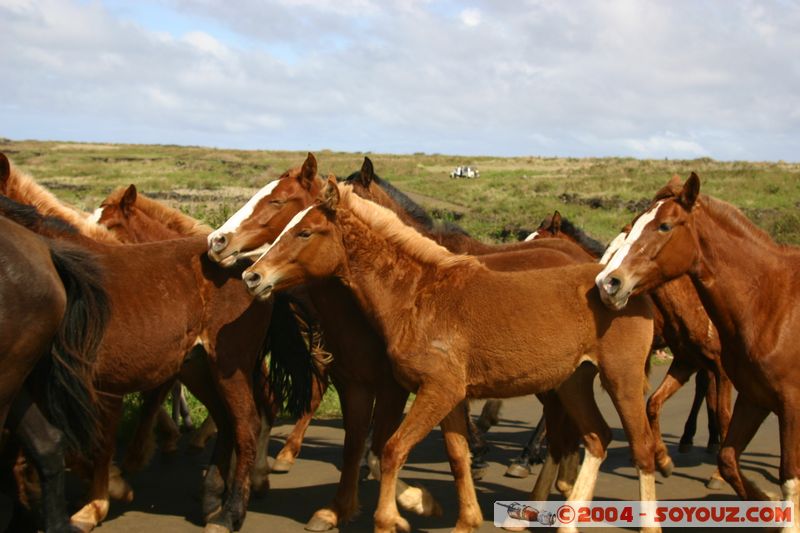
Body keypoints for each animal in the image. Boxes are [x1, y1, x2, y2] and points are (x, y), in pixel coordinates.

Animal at [0, 154, 316, 532]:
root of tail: (250, 268)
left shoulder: (92, 386)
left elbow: (95, 443)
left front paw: (99, 500)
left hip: (230, 366)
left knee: (248, 423)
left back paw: (231, 511)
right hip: (198, 368)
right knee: (228, 420)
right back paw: (213, 496)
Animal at [245, 178, 664, 532]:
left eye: (304, 231)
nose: (252, 276)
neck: (418, 295)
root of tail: (622, 283)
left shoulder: (436, 390)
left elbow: (391, 450)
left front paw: (390, 518)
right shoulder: (447, 396)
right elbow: (456, 455)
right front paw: (462, 519)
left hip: (621, 379)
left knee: (639, 447)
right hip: (572, 383)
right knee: (596, 438)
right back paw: (565, 519)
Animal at [592, 172, 800, 528]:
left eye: (664, 226)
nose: (607, 282)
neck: (769, 301)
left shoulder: (783, 400)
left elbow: (786, 473)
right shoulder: (745, 390)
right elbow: (724, 453)